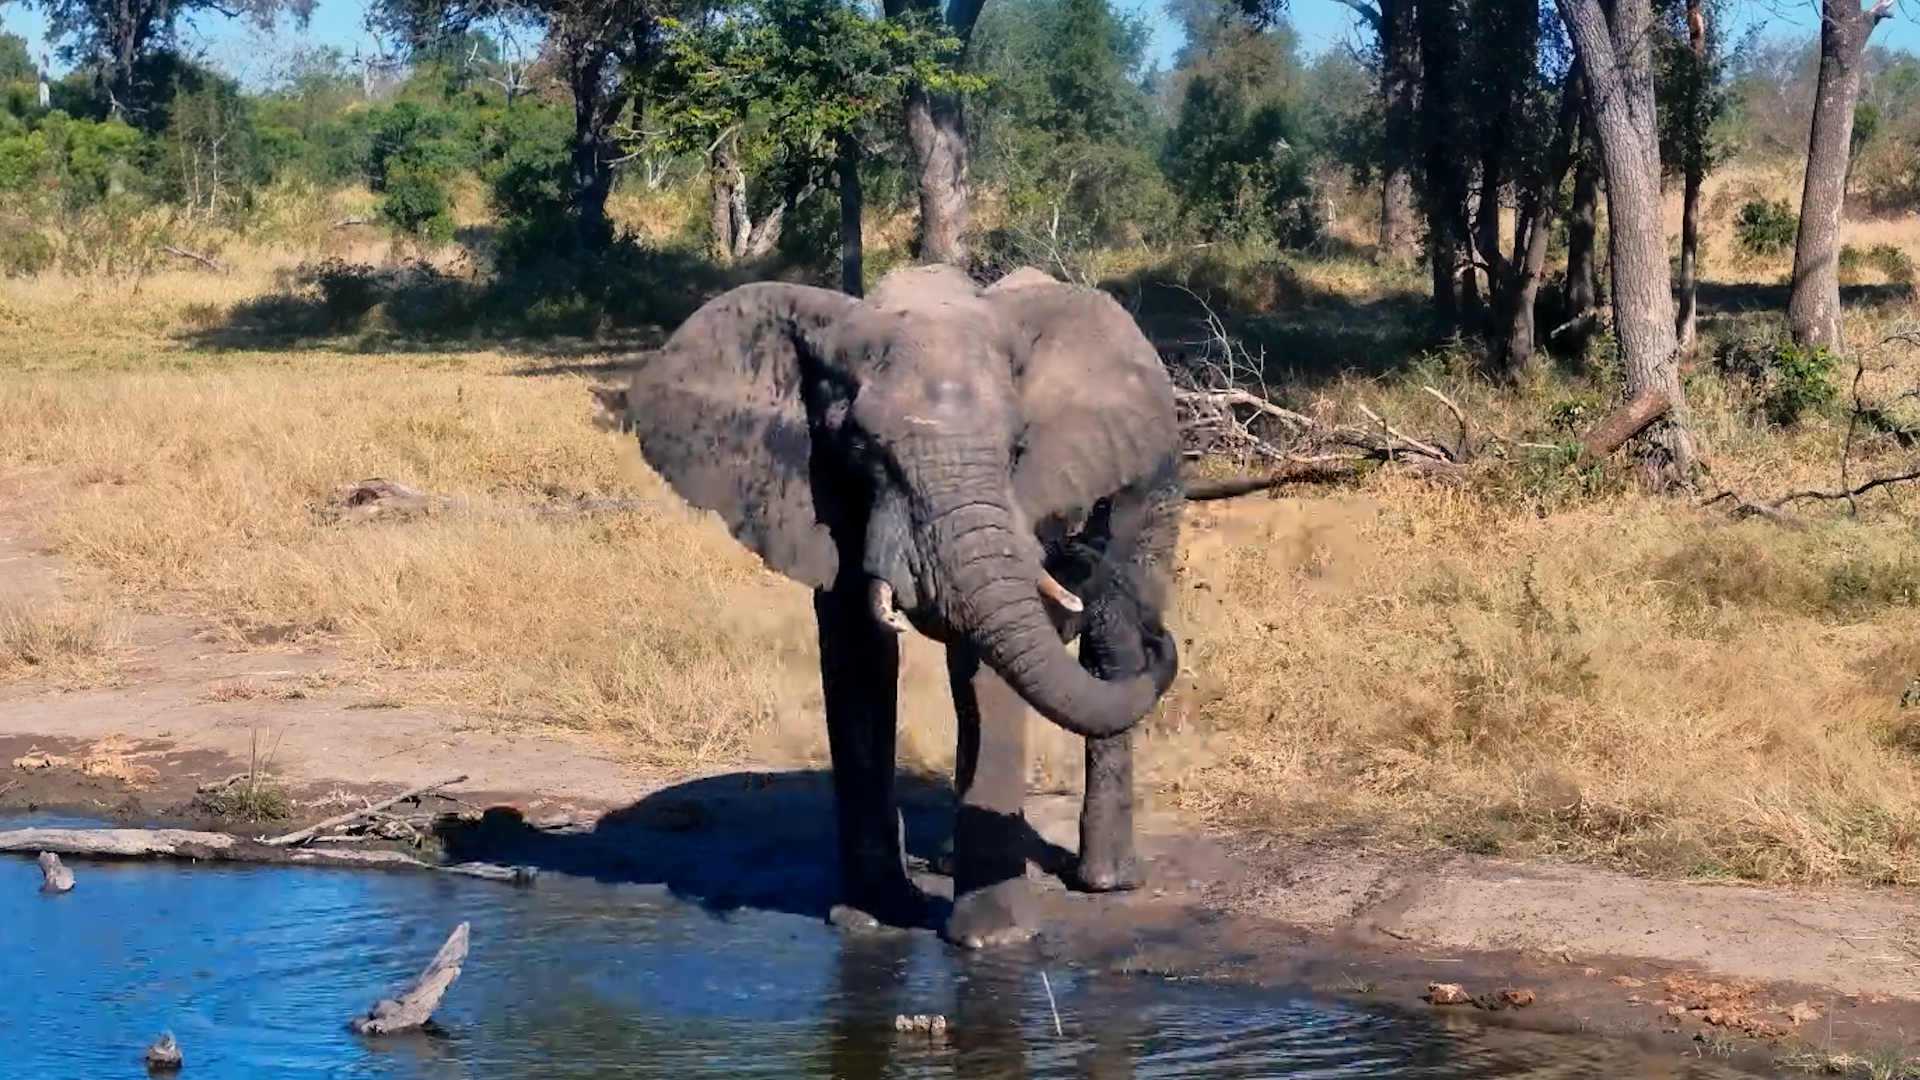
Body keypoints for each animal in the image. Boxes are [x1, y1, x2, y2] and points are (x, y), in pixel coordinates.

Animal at [596, 262, 1190, 948]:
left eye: (1018, 448)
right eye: (862, 451)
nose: (1165, 639)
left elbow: (984, 664)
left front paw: (992, 941)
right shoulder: (817, 487)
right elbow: (856, 652)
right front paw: (876, 920)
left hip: (1155, 483)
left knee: (1112, 645)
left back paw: (1107, 881)